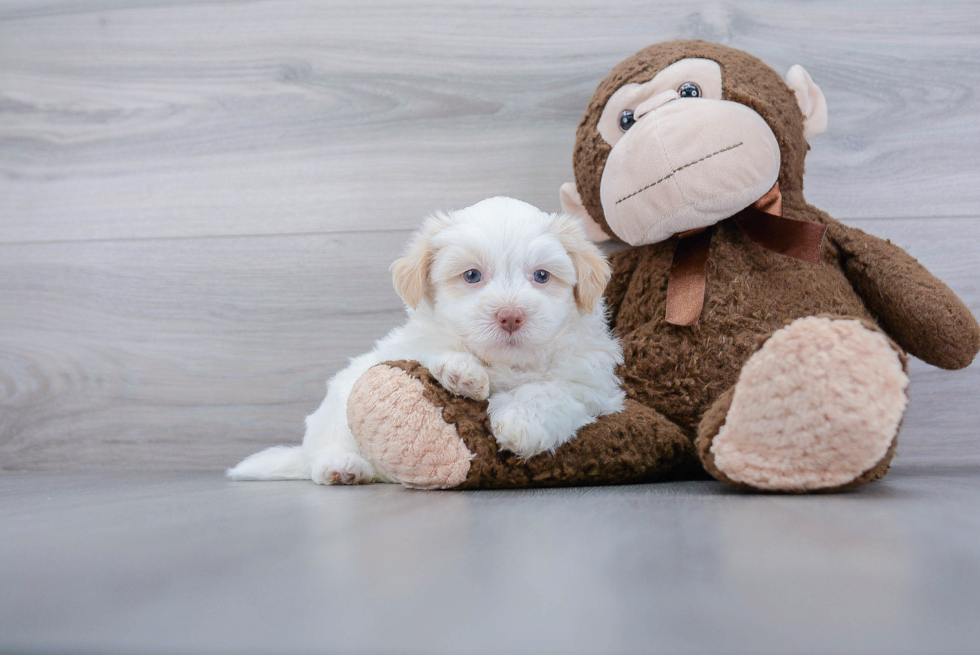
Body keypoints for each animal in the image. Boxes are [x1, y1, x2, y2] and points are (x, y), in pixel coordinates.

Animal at [229, 197, 624, 484]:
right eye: (472, 276)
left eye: (541, 276)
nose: (510, 315)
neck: (505, 362)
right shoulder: (412, 344)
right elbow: (430, 351)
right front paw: (462, 371)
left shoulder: (589, 384)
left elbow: (551, 392)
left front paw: (519, 423)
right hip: (338, 407)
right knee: (328, 446)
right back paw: (342, 467)